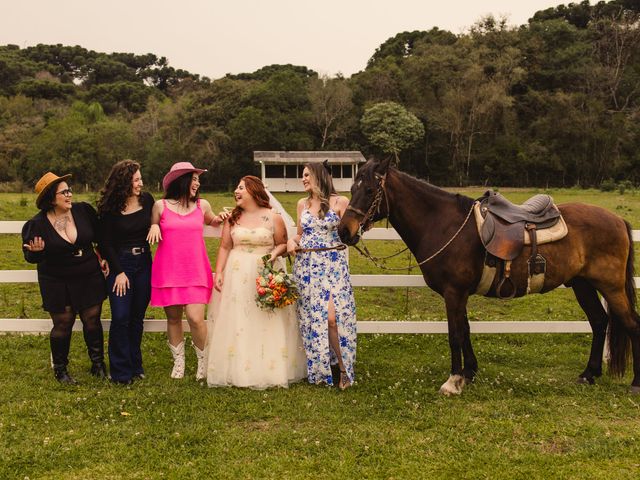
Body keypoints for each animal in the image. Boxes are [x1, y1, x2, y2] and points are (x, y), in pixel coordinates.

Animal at [336, 158, 640, 394]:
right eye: (352, 188)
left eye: (371, 189)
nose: (344, 231)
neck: (443, 224)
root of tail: (618, 220)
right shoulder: (459, 294)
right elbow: (466, 330)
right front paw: (469, 373)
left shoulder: (453, 293)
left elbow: (455, 334)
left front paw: (453, 381)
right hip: (582, 284)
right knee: (600, 322)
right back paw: (588, 374)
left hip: (610, 287)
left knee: (630, 324)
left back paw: (635, 383)